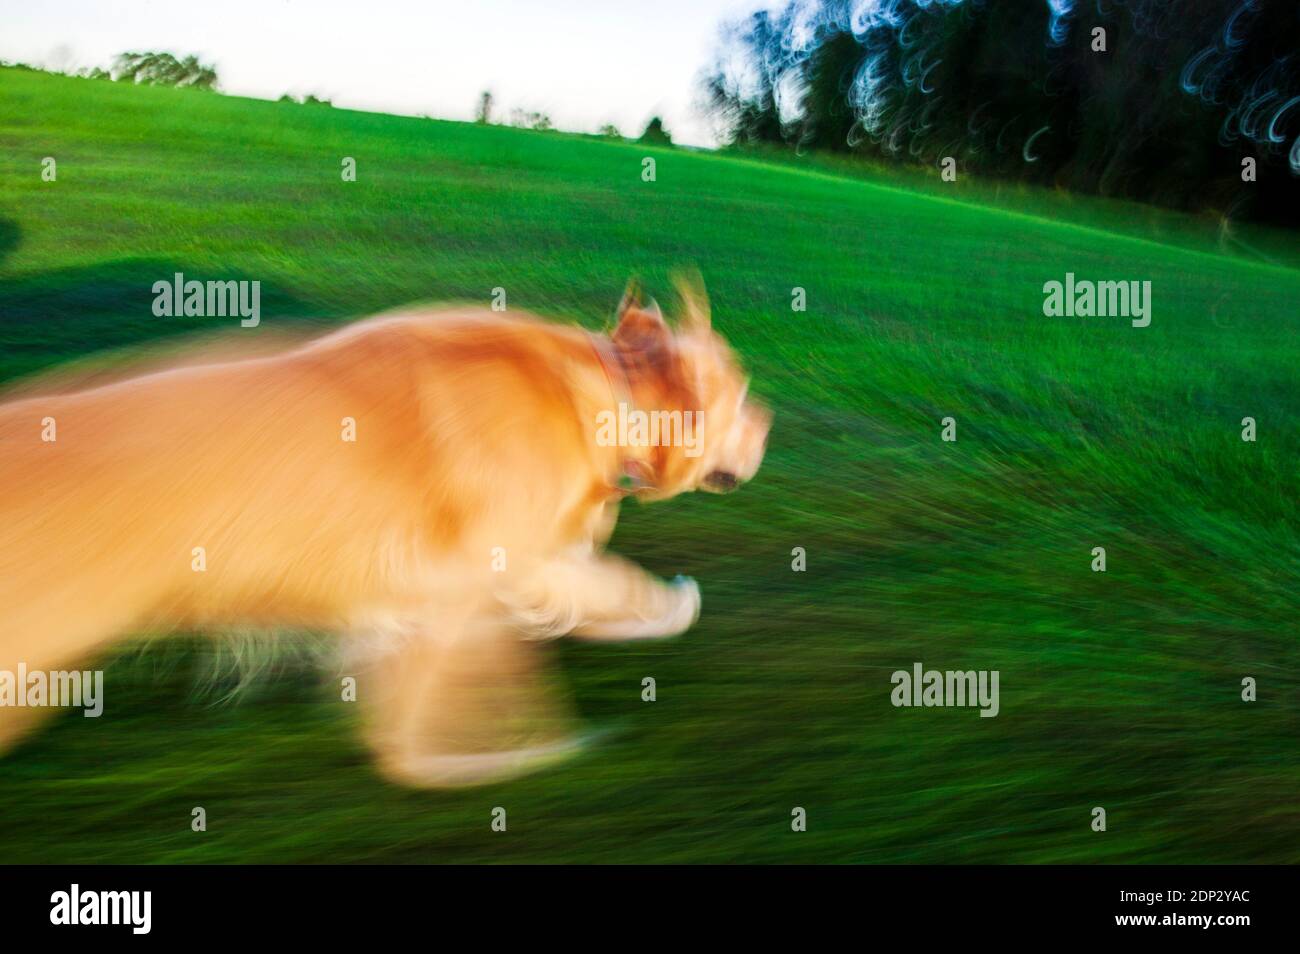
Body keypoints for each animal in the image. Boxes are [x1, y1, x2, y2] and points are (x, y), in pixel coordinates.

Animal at [0, 274, 764, 785]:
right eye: (742, 394)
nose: (770, 423)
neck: (608, 392)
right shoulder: (483, 567)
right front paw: (506, 751)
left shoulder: (490, 574)